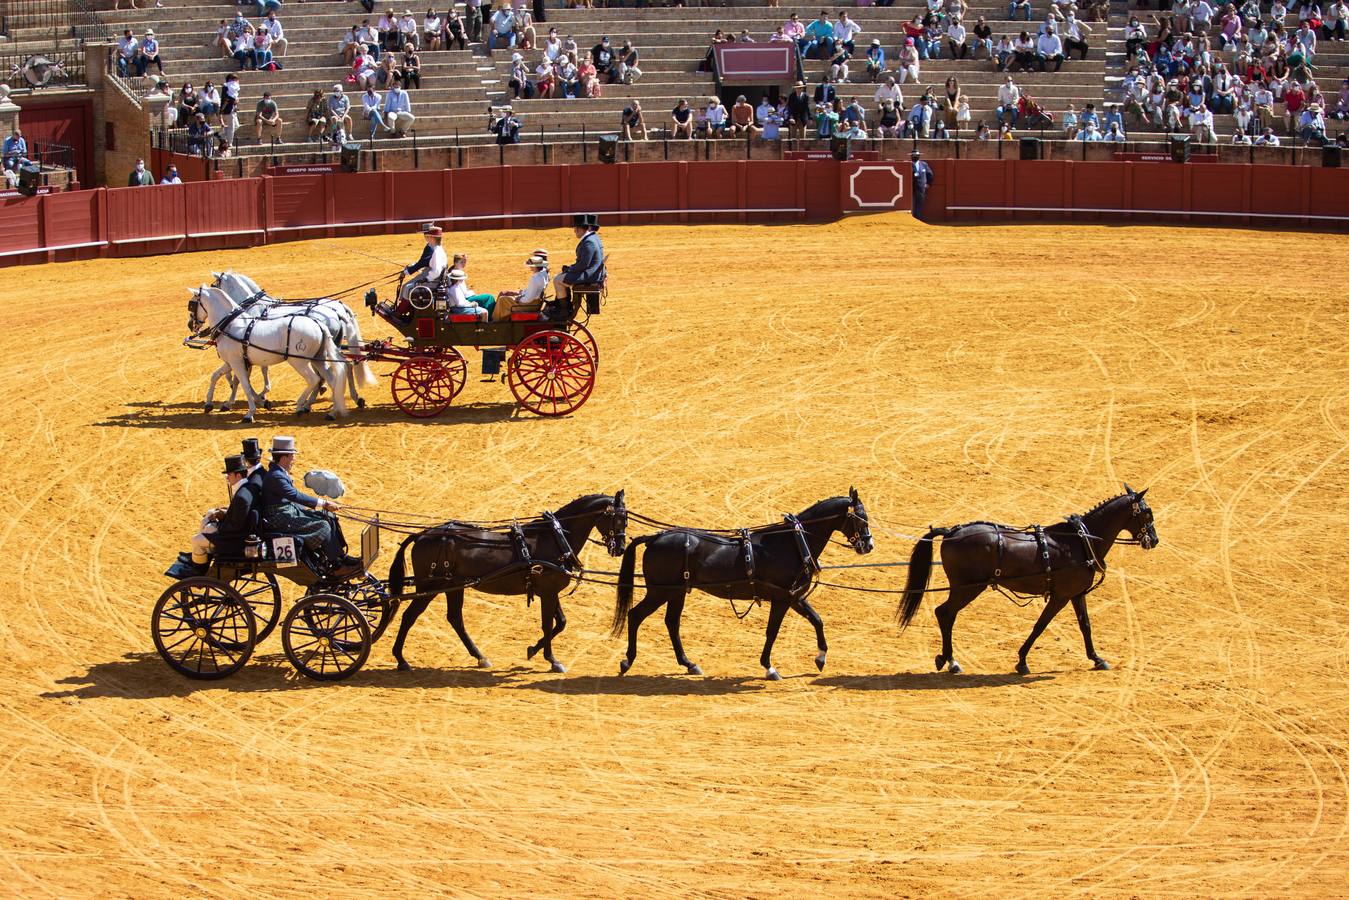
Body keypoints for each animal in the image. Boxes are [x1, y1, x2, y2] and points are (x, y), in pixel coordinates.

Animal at [190, 287, 348, 423]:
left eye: (191, 305)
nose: (190, 325)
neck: (230, 326)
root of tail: (319, 323)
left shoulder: (237, 363)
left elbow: (244, 384)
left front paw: (250, 413)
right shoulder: (233, 362)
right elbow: (216, 376)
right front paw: (209, 404)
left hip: (299, 362)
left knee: (314, 379)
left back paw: (300, 406)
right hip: (318, 359)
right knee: (332, 380)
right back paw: (333, 411)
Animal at [210, 269, 380, 407]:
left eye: (215, 284)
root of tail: (338, 310)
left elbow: (253, 372)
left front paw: (254, 395)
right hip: (331, 347)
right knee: (345, 365)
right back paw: (352, 397)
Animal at [385, 493, 625, 674]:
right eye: (619, 518)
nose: (620, 548)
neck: (554, 537)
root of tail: (422, 535)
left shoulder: (549, 591)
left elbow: (561, 622)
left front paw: (533, 650)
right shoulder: (548, 592)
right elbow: (548, 625)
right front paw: (553, 660)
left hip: (453, 587)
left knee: (454, 619)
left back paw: (480, 657)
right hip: (430, 587)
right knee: (410, 616)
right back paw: (401, 659)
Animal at [612, 488, 874, 680]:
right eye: (861, 518)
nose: (868, 545)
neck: (791, 542)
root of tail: (653, 538)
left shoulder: (793, 596)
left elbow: (817, 619)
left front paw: (820, 658)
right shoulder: (781, 598)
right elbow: (772, 631)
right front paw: (769, 668)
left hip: (677, 592)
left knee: (671, 623)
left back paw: (689, 664)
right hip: (660, 591)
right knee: (636, 615)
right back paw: (627, 661)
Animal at [895, 485, 1160, 674]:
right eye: (1147, 513)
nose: (1154, 540)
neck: (1079, 541)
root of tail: (951, 532)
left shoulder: (1076, 594)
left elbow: (1085, 625)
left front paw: (1096, 658)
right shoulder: (1060, 597)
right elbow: (1041, 625)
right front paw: (1022, 660)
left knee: (946, 614)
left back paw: (948, 659)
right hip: (968, 588)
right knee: (945, 613)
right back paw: (950, 660)